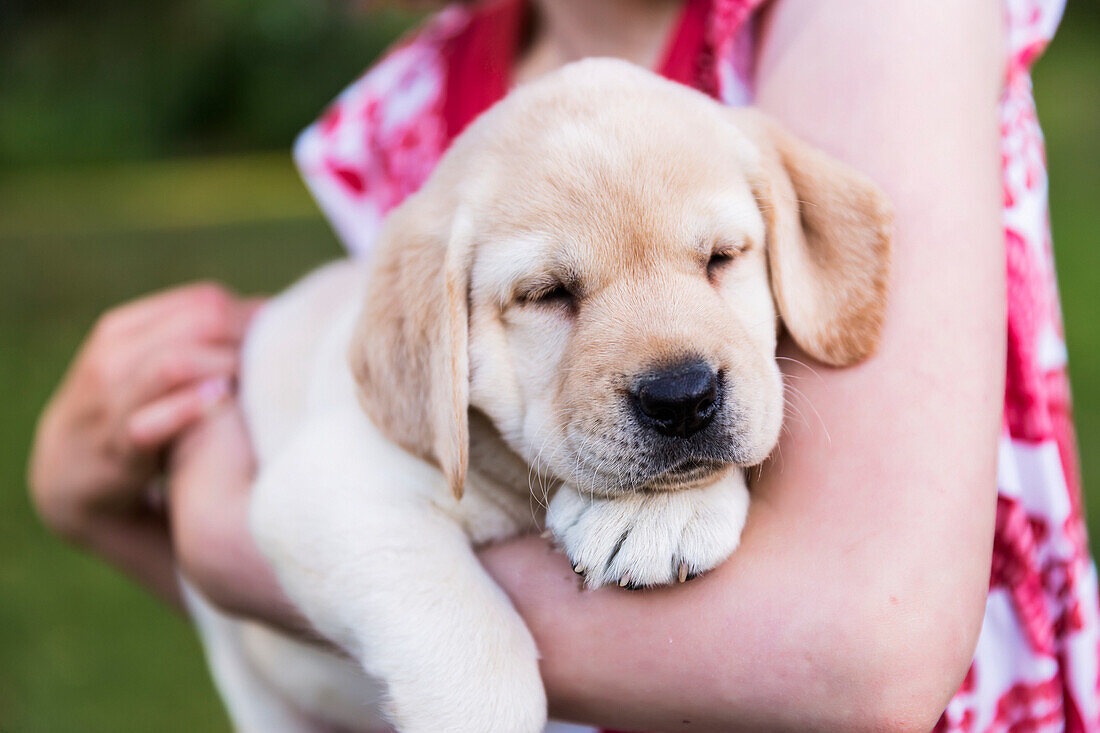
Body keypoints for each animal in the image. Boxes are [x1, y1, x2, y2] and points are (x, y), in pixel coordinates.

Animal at [184, 58, 888, 730]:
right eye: (548, 294)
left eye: (722, 257)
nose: (682, 398)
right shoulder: (329, 483)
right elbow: (467, 647)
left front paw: (660, 514)